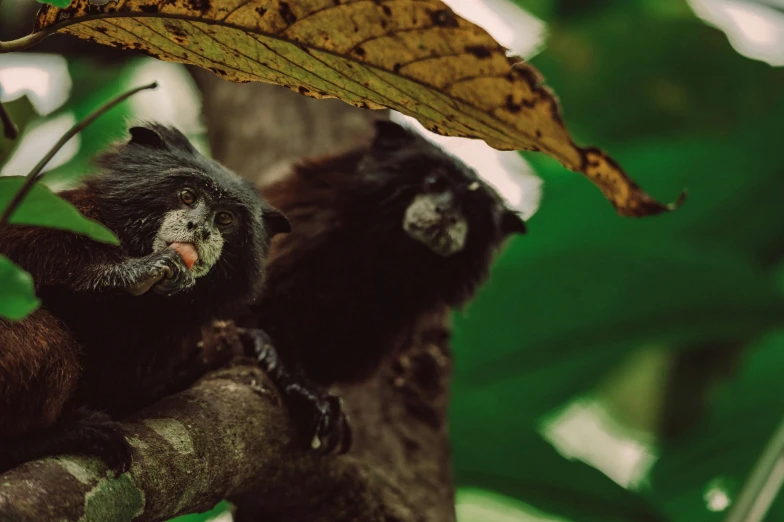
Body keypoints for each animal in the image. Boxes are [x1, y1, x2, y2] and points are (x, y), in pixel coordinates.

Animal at [0, 125, 300, 472]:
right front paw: (132, 272)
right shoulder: (74, 213)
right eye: (188, 196)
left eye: (225, 219)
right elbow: (20, 244)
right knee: (50, 339)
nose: (198, 228)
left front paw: (271, 358)